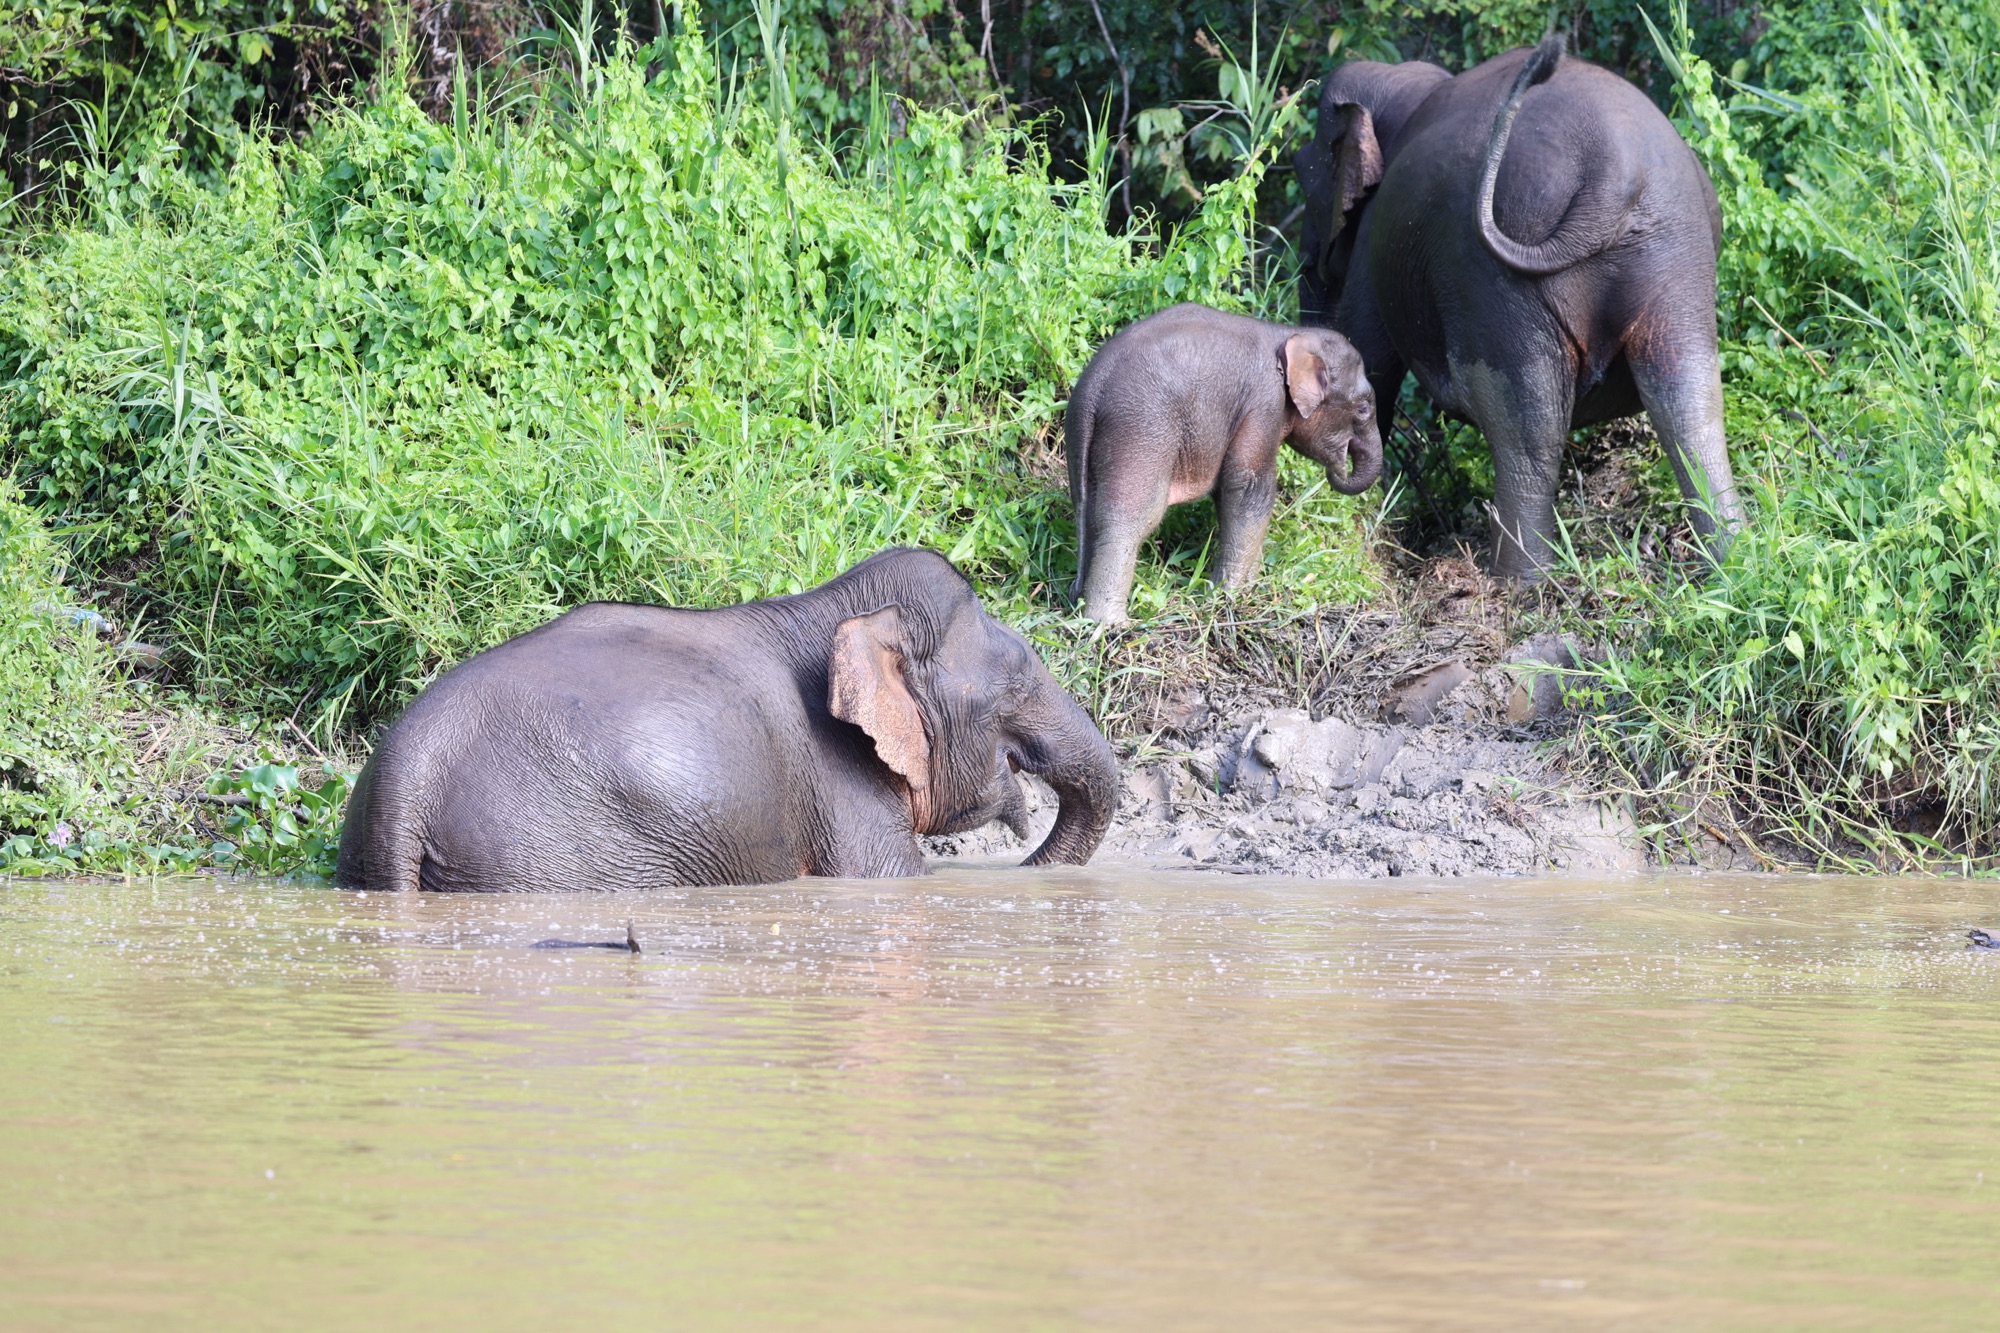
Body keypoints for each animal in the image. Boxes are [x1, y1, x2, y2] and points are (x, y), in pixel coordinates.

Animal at [1065, 303, 1381, 623]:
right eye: (1363, 408)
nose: (1339, 466)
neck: (1289, 333)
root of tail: (1093, 391)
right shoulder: (1264, 403)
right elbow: (1247, 486)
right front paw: (1229, 596)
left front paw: (1247, 588)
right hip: (1142, 432)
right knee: (1130, 517)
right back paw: (1109, 624)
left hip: (1081, 441)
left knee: (1086, 509)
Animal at [1295, 35, 1742, 579]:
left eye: (1303, 174)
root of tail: (1611, 177)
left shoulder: (1374, 244)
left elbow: (1371, 359)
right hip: (1677, 254)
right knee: (1689, 399)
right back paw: (1732, 559)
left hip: (1491, 274)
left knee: (1527, 424)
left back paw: (1519, 582)